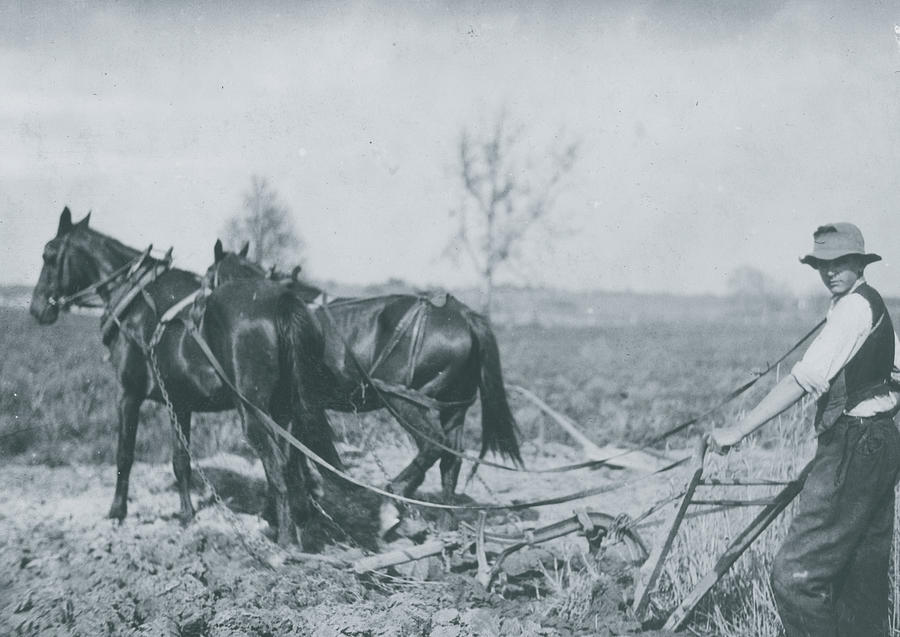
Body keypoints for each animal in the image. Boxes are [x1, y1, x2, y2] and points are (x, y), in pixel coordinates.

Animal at [30, 206, 342, 544]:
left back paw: (285, 540)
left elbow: (124, 455)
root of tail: (282, 301)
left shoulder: (128, 394)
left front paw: (117, 512)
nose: (36, 308)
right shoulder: (179, 402)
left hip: (255, 413)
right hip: (286, 410)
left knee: (280, 467)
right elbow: (181, 461)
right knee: (292, 464)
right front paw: (187, 515)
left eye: (48, 254)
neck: (135, 301)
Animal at [207, 238, 524, 516]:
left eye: (209, 277)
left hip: (405, 400)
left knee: (433, 444)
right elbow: (296, 452)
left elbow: (293, 454)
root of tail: (464, 315)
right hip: (454, 407)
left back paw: (395, 496)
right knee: (451, 462)